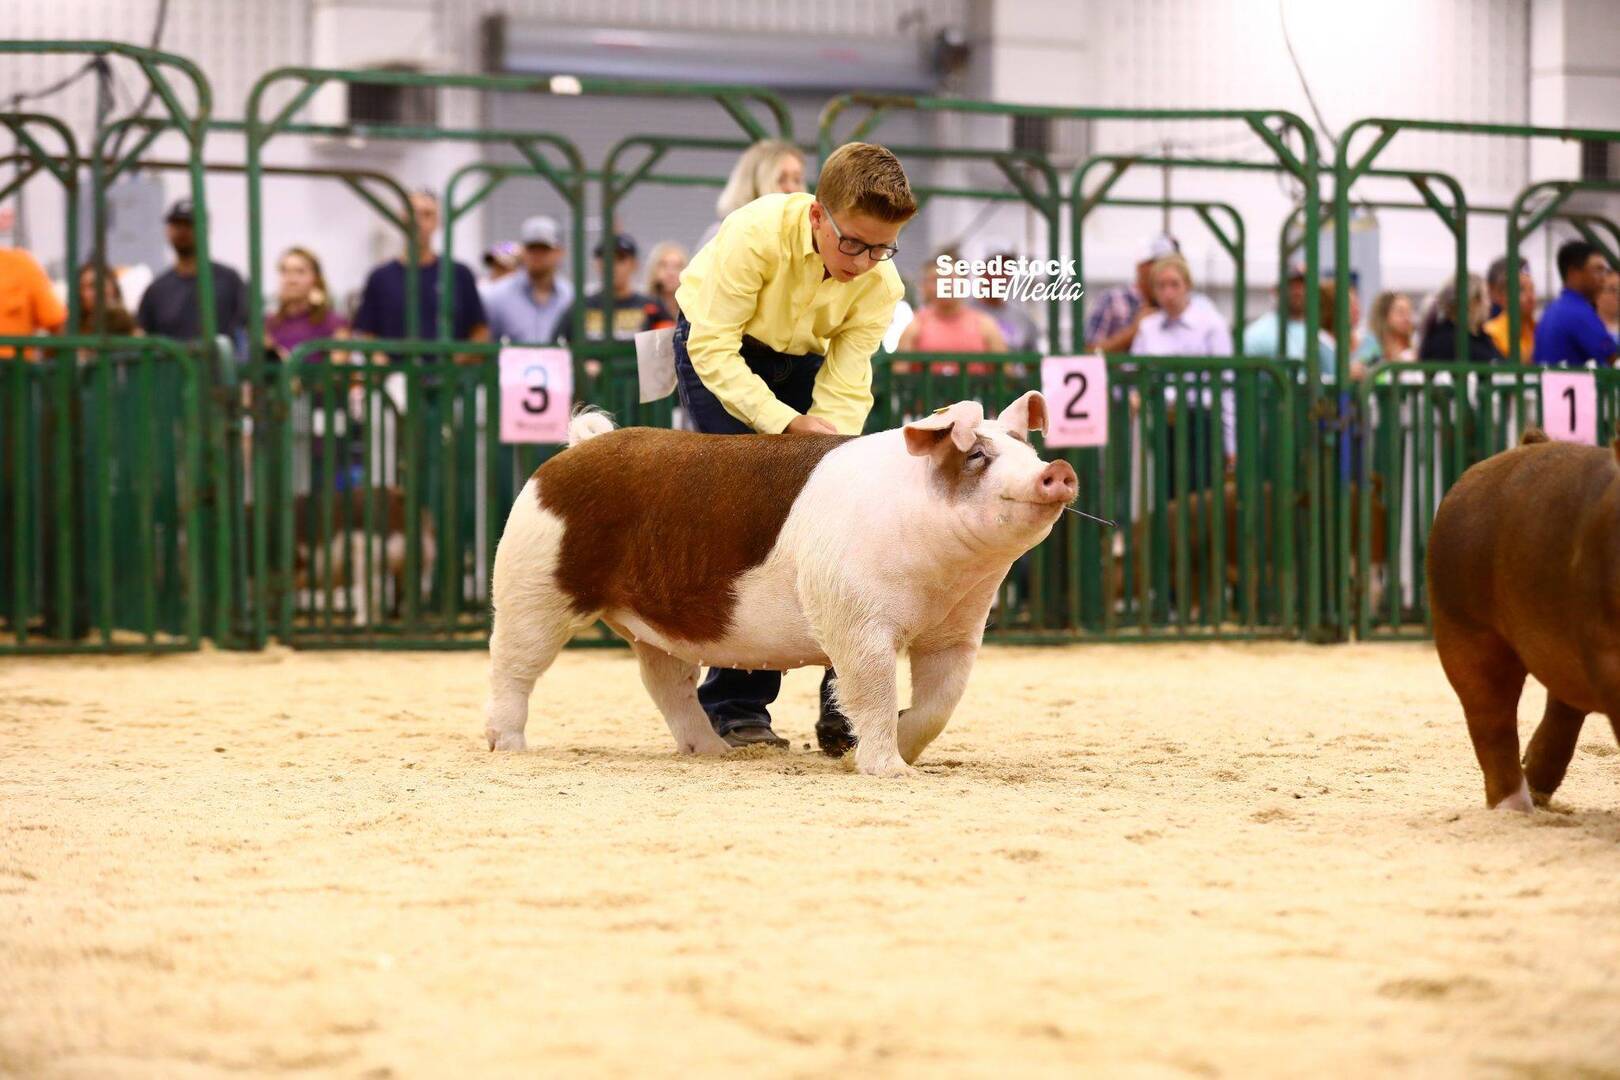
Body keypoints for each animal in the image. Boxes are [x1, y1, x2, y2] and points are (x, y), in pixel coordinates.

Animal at [479, 395, 1075, 777]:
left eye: (1029, 454)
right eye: (977, 455)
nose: (1060, 469)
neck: (945, 580)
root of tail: (571, 453)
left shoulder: (957, 629)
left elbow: (940, 704)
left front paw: (873, 757)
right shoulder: (854, 617)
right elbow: (875, 690)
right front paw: (889, 772)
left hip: (655, 625)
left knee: (666, 684)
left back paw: (714, 754)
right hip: (531, 582)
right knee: (512, 665)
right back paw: (508, 747)